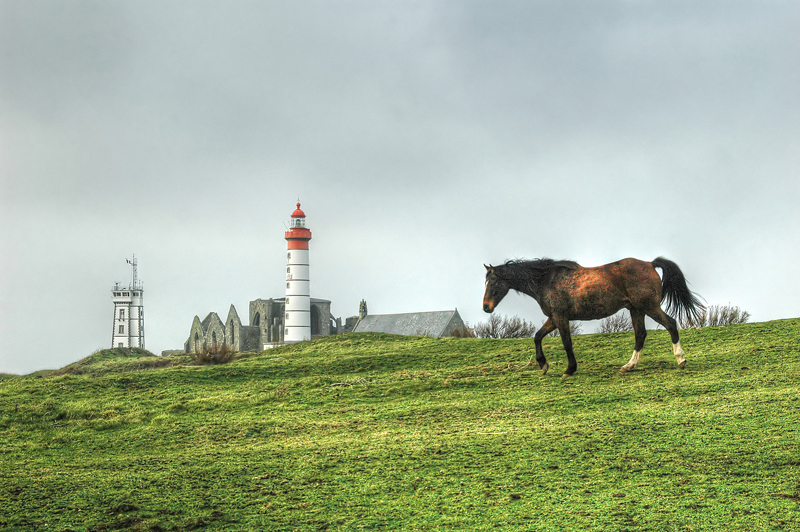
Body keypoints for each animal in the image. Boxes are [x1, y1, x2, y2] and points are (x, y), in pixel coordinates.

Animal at [482, 256, 700, 374]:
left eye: (493, 282)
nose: (486, 307)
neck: (546, 280)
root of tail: (649, 263)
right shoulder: (553, 318)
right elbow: (537, 336)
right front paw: (543, 365)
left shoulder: (560, 317)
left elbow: (566, 343)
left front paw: (569, 369)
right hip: (636, 310)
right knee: (640, 335)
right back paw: (629, 366)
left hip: (649, 307)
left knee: (670, 324)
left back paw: (681, 359)